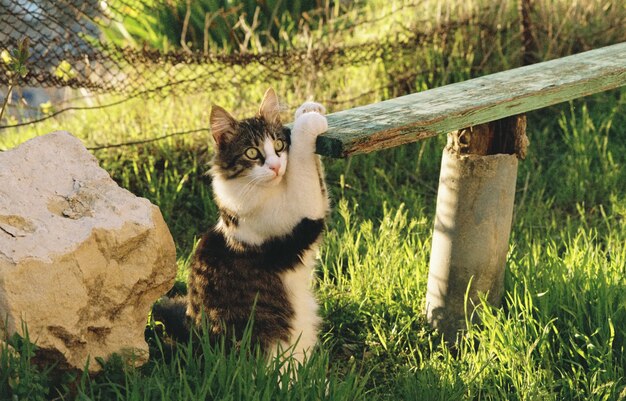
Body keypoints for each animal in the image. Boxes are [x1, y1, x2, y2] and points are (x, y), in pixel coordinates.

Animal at [155, 88, 330, 366]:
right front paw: (308, 121)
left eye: (279, 146)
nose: (276, 167)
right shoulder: (304, 213)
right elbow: (302, 160)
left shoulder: (315, 203)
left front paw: (308, 109)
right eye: (251, 153)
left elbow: (311, 167)